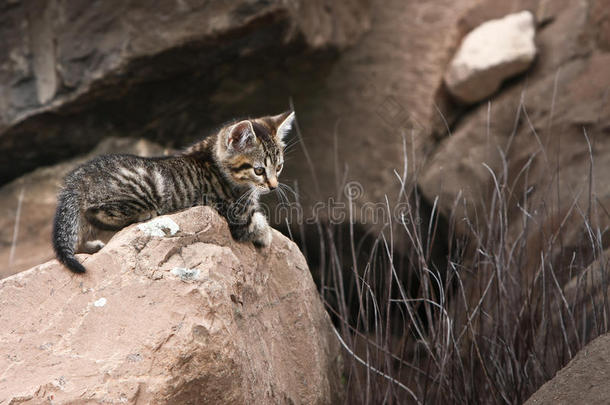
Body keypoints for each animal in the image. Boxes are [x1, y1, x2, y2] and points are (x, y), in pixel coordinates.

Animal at [52, 110, 294, 274]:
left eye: (279, 167)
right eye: (258, 170)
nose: (273, 186)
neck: (212, 158)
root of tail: (78, 177)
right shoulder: (238, 216)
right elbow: (259, 224)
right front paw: (266, 236)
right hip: (144, 189)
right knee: (97, 212)